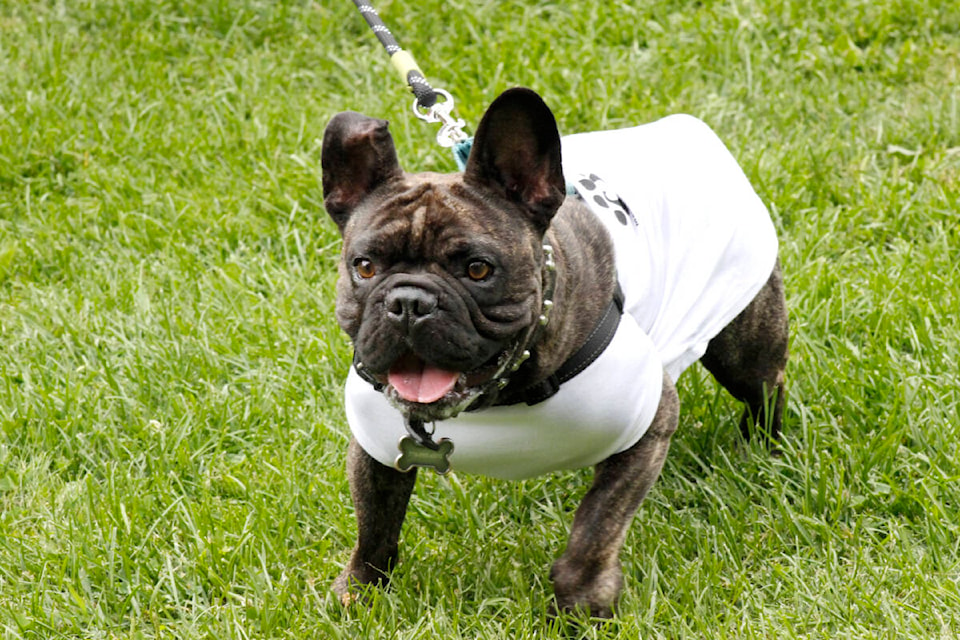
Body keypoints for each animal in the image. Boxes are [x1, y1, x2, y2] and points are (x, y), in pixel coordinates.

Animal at [322, 87, 788, 616]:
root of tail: (684, 128)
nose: (409, 303)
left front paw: (582, 604)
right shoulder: (378, 449)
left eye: (478, 269)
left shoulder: (650, 423)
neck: (497, 398)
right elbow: (374, 526)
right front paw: (357, 594)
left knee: (765, 389)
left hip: (743, 345)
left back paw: (762, 450)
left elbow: (595, 528)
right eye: (364, 266)